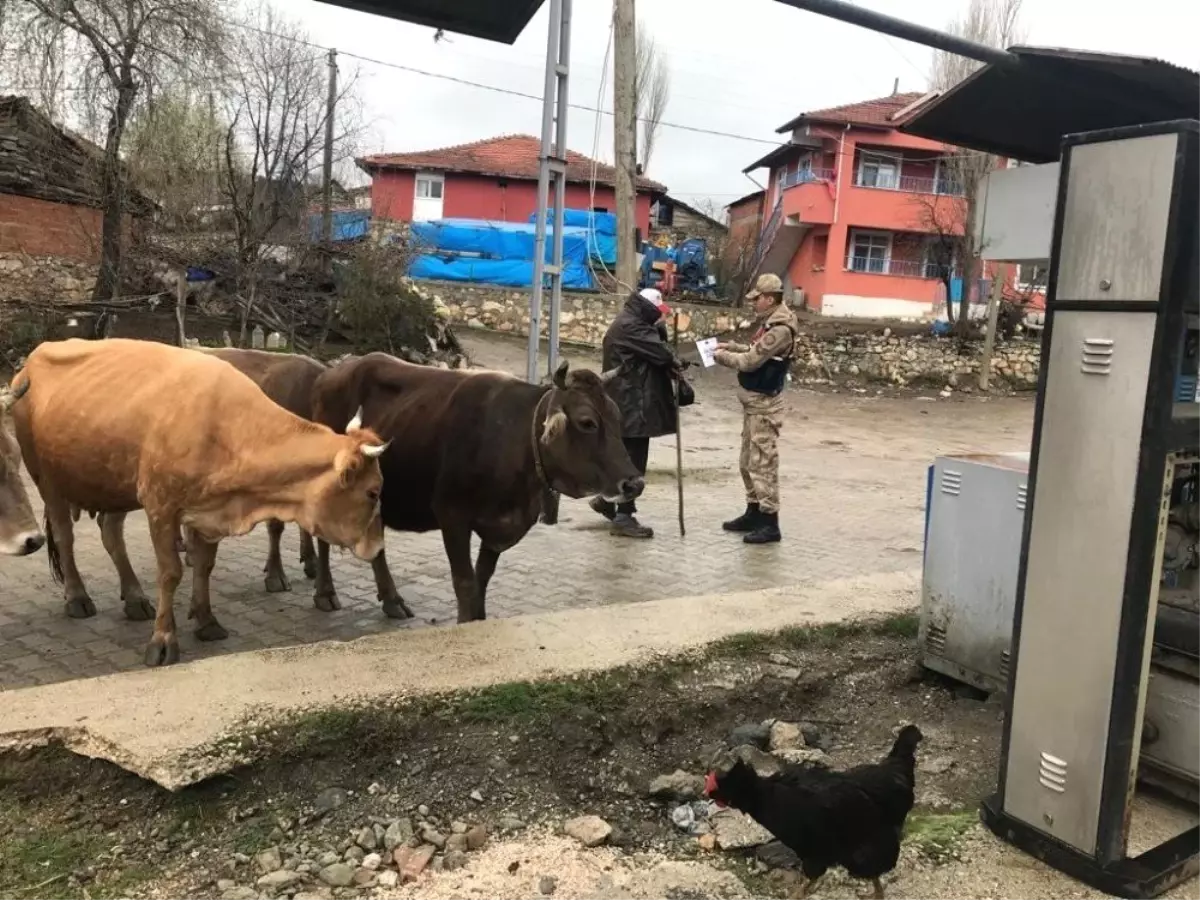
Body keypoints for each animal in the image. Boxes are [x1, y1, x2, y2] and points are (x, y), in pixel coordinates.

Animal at [14, 338, 388, 672]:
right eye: (373, 492)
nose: (377, 546)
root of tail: (33, 359)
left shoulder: (209, 511)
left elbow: (204, 566)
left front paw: (206, 620)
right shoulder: (160, 506)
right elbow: (170, 573)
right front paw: (163, 640)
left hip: (113, 484)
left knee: (111, 535)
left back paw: (134, 597)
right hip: (47, 480)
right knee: (65, 537)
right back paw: (77, 597)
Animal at [312, 355, 648, 624]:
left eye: (617, 417)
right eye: (587, 422)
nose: (634, 483)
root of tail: (334, 371)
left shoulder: (501, 527)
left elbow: (482, 579)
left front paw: (480, 619)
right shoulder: (452, 515)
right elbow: (464, 581)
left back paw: (392, 600)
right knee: (322, 536)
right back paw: (324, 592)